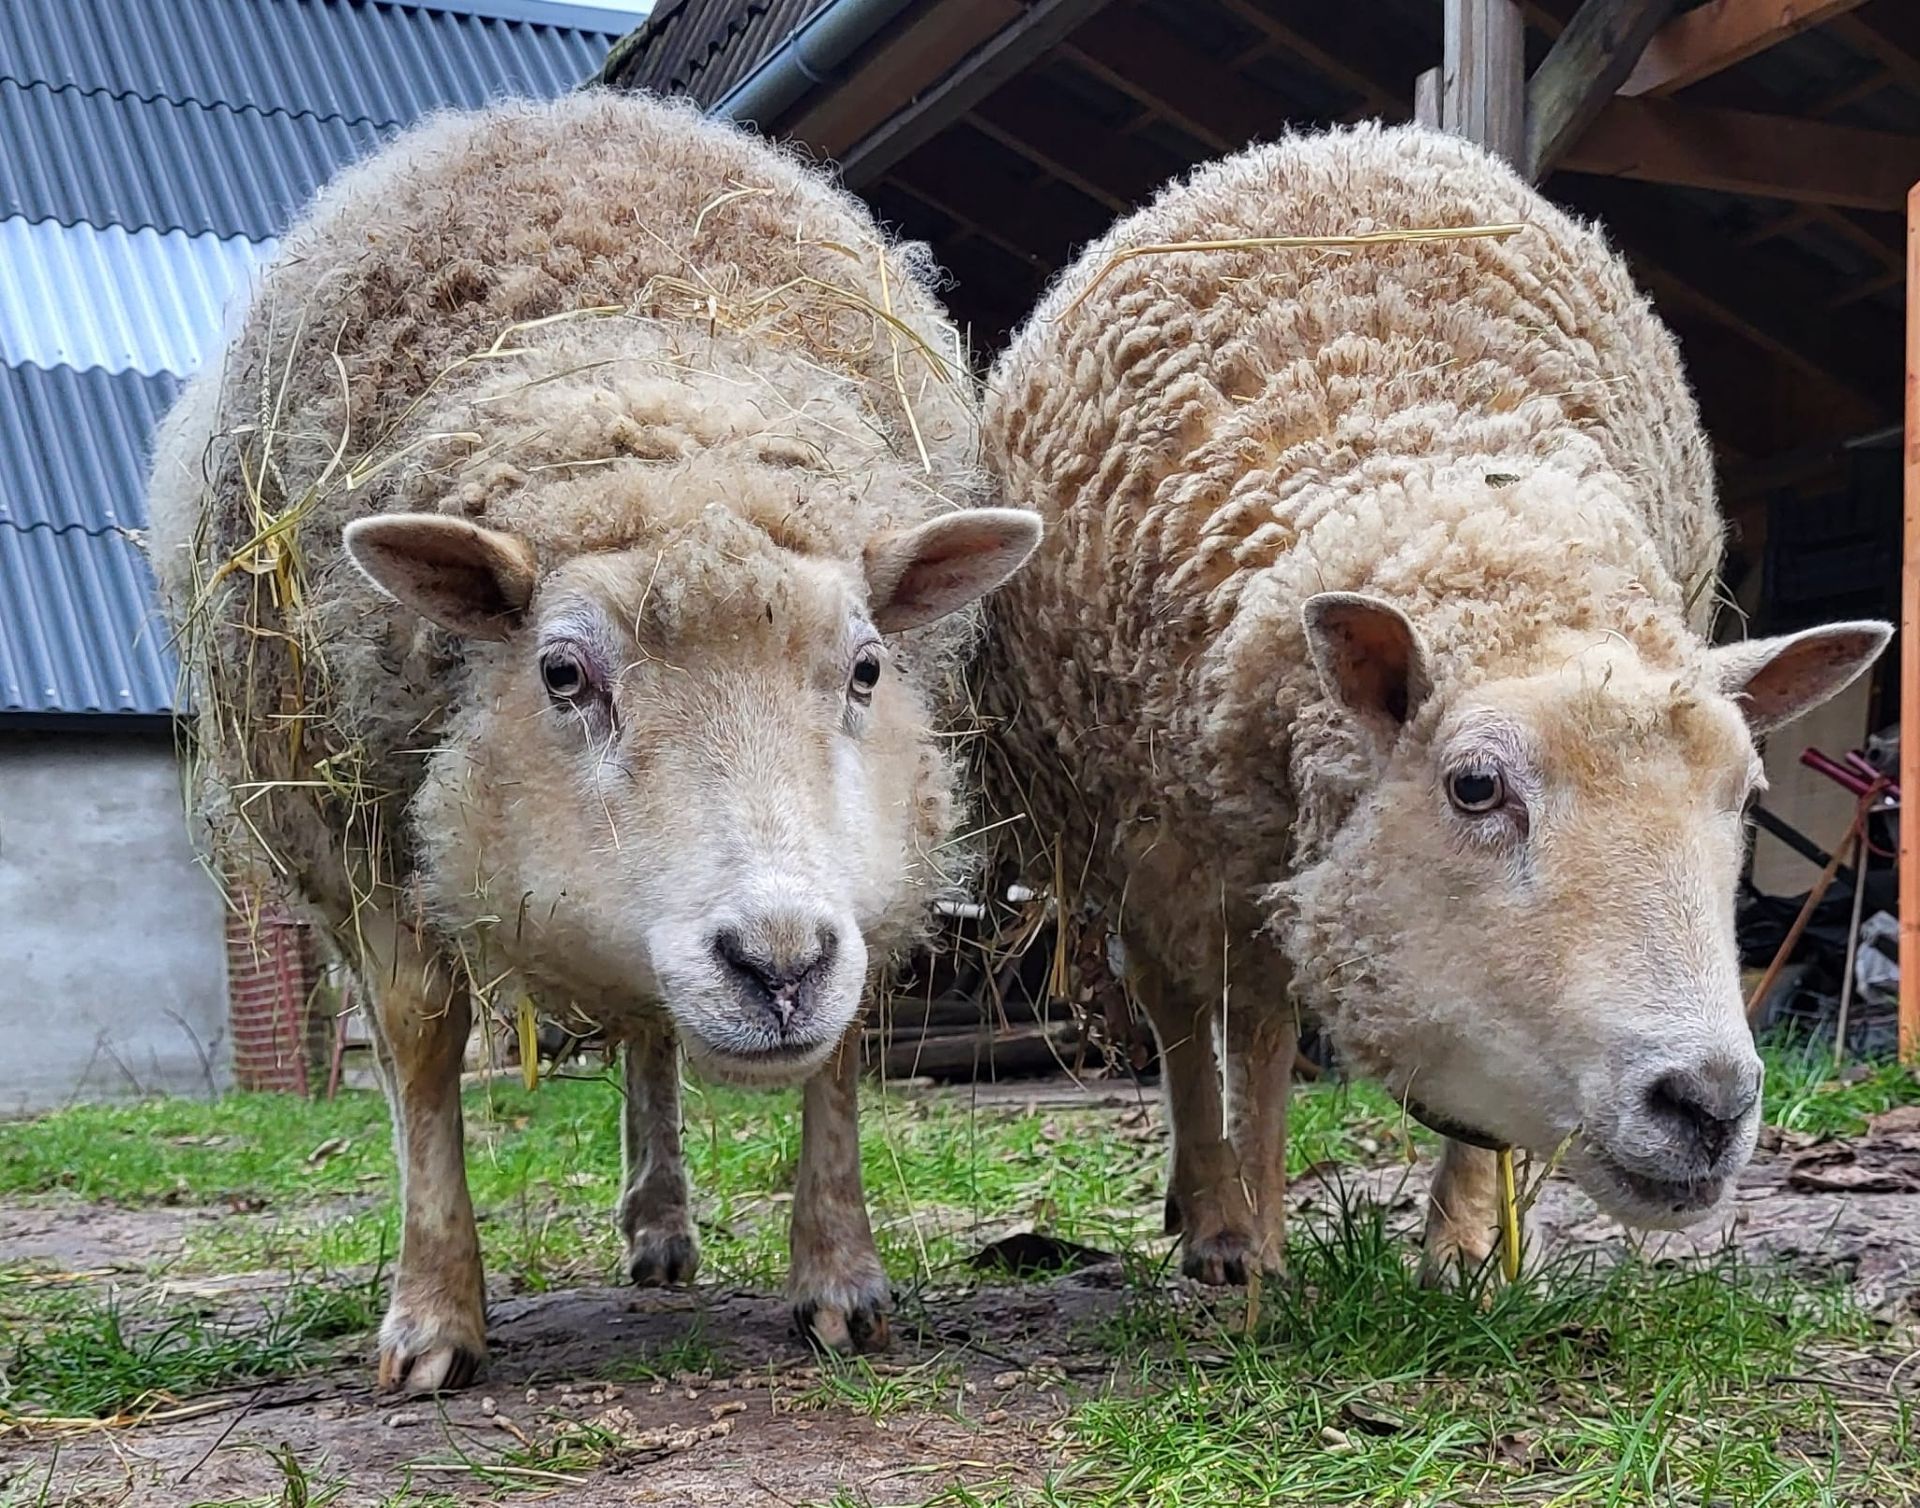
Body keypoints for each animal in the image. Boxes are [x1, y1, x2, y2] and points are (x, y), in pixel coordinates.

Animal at [146, 92, 1039, 1393]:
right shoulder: (349, 833)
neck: (660, 384)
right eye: (563, 674)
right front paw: (432, 1313)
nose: (777, 965)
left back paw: (662, 1222)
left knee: (652, 1040)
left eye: (868, 668)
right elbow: (420, 1040)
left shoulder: (871, 860)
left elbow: (841, 1046)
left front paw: (839, 1276)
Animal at [978, 122, 1888, 1285]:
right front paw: (1255, 1242)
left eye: (1747, 793)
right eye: (1475, 786)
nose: (1708, 1103)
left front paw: (1464, 1254)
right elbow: (1258, 1035)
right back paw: (1211, 1210)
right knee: (1181, 1013)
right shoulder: (1229, 840)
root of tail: (1324, 138)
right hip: (1136, 836)